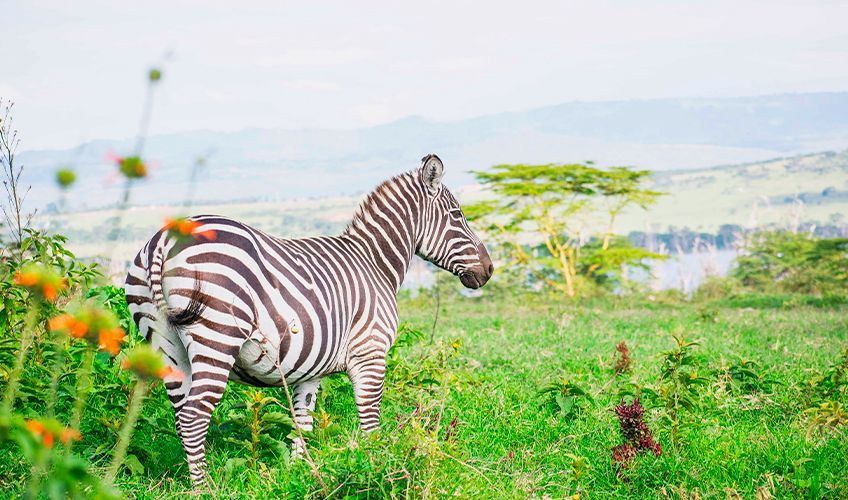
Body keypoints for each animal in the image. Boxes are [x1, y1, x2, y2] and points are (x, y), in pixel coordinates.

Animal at [124, 154, 493, 485]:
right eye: (458, 215)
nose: (489, 271)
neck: (375, 264)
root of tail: (164, 238)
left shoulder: (310, 369)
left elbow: (303, 424)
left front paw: (303, 475)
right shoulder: (371, 353)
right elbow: (370, 422)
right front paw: (378, 470)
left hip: (166, 346)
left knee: (180, 415)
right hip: (217, 336)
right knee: (194, 417)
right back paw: (205, 488)